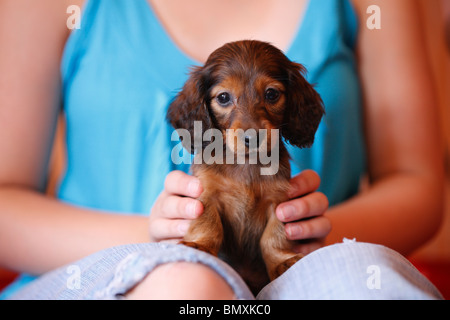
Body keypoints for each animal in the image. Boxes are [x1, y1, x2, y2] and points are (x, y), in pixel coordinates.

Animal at [167, 40, 326, 292]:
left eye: (271, 93)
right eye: (223, 97)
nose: (254, 137)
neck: (245, 163)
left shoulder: (279, 201)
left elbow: (274, 235)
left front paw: (282, 260)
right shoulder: (206, 194)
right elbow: (208, 223)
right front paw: (200, 245)